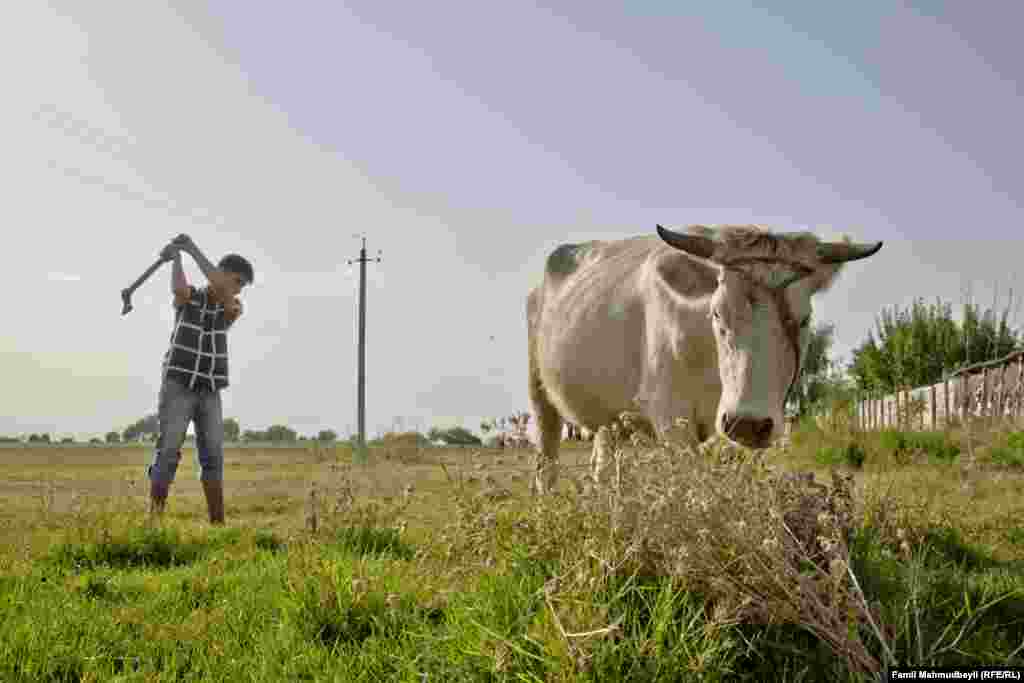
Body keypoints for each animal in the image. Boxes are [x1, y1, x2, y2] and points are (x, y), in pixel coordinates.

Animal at [528, 223, 880, 491]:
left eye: (804, 320)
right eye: (717, 313)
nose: (747, 424)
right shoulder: (671, 417)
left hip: (610, 417)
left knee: (603, 464)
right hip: (539, 392)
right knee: (546, 464)